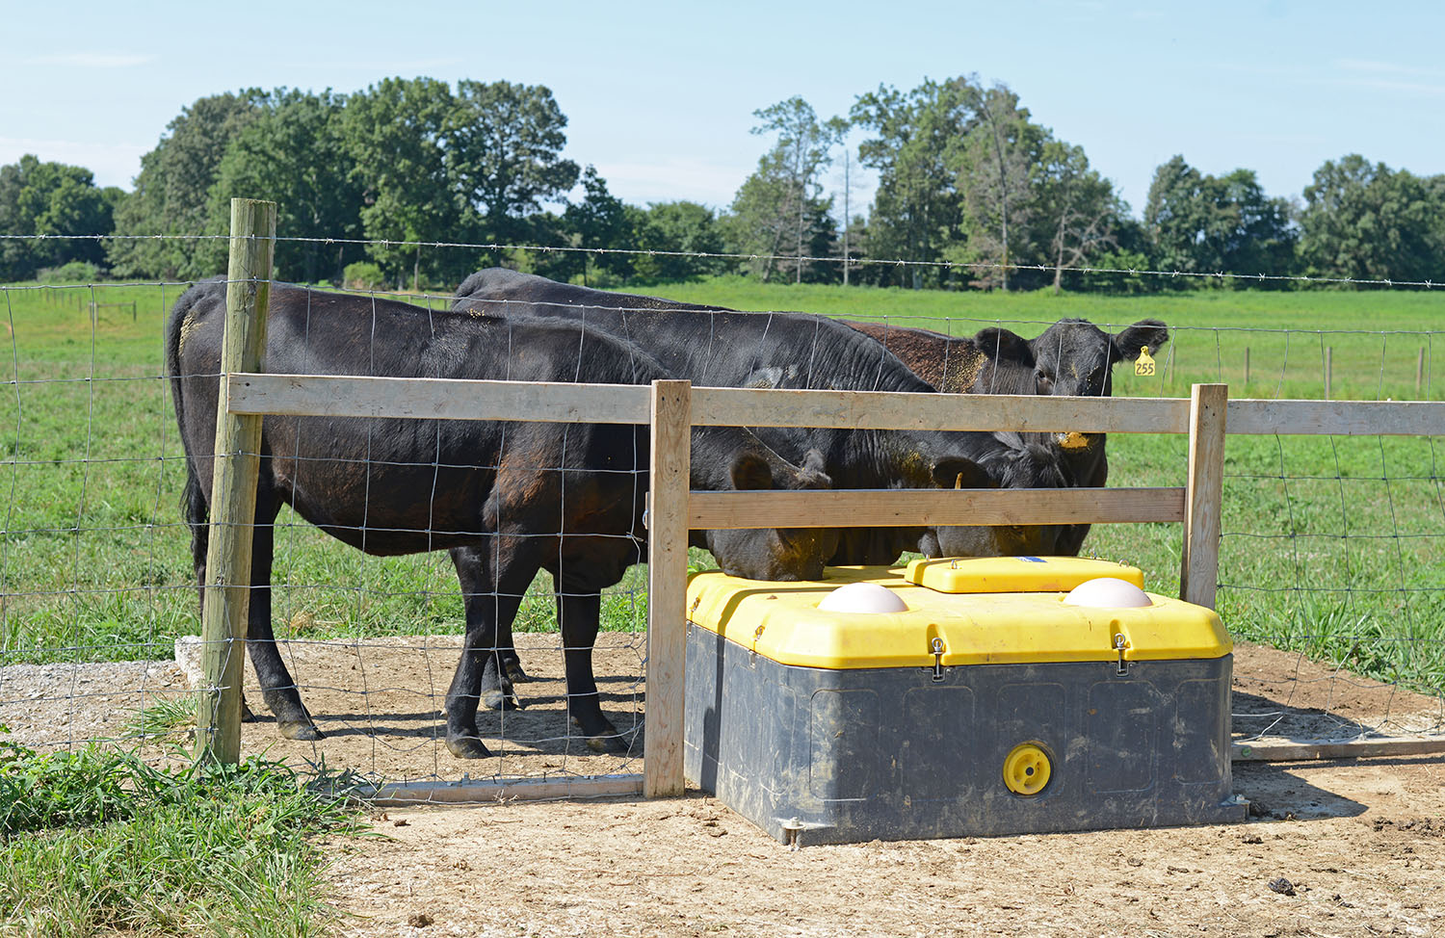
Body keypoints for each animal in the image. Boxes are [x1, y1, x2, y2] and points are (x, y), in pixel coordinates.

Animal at [166, 280, 840, 758]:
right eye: (789, 536)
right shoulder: (514, 530)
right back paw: (290, 711)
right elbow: (487, 623)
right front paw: (463, 729)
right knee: (249, 591)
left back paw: (236, 702)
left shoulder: (582, 546)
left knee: (213, 578)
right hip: (249, 494)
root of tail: (217, 290)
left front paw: (594, 722)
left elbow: (579, 636)